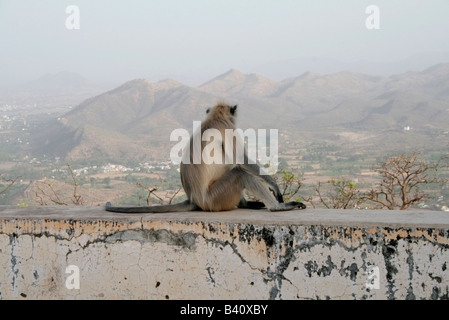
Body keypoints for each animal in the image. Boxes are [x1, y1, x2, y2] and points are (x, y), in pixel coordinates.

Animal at [106, 102, 304, 212]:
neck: (215, 117)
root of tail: (194, 199)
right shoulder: (228, 128)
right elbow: (241, 158)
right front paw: (275, 187)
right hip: (216, 198)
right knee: (239, 172)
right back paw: (277, 208)